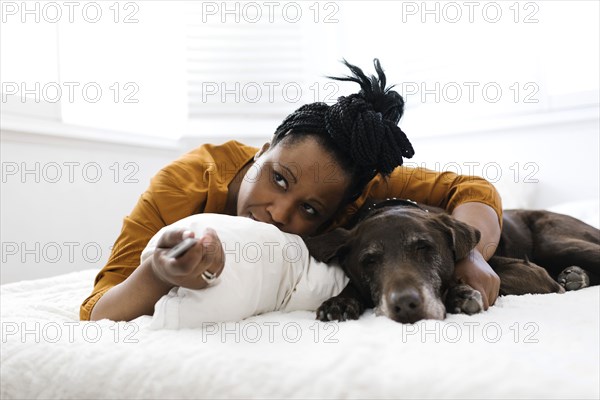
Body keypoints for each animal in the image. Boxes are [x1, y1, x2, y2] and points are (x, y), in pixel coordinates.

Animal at [308, 198, 596, 324]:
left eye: (424, 247)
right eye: (369, 260)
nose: (406, 305)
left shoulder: (532, 273)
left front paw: (459, 293)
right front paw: (341, 301)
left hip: (555, 243)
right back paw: (575, 276)